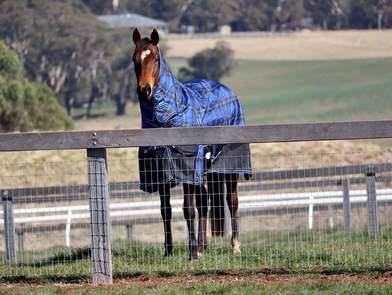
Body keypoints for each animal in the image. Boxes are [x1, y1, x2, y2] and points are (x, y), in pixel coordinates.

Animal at [132, 27, 251, 260]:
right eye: (134, 59)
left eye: (156, 59)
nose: (145, 90)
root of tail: (226, 89)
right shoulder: (161, 172)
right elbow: (166, 210)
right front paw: (169, 251)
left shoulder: (186, 168)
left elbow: (188, 209)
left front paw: (192, 253)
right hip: (204, 169)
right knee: (205, 201)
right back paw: (203, 246)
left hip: (228, 165)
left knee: (231, 201)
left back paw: (234, 246)